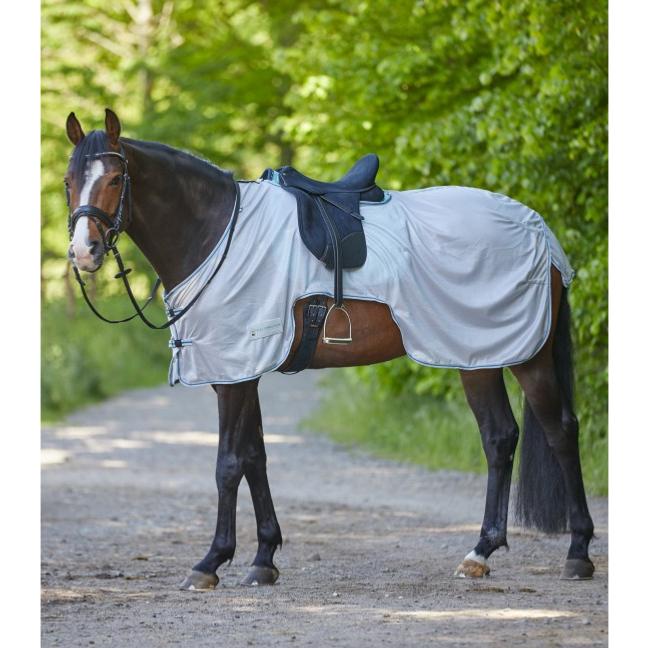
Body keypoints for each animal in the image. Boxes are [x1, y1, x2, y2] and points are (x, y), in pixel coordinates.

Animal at [63, 108, 595, 590]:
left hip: (525, 355)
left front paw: (211, 562)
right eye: (69, 181)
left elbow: (228, 464)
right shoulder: (240, 372)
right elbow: (255, 457)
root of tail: (539, 229)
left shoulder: (236, 371)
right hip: (477, 355)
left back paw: (578, 553)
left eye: (115, 178)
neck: (216, 234)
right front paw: (264, 559)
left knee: (560, 430)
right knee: (500, 438)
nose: (84, 252)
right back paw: (480, 553)